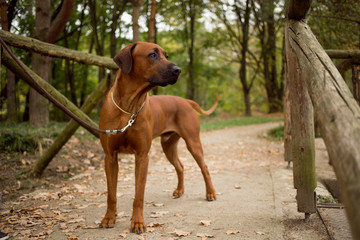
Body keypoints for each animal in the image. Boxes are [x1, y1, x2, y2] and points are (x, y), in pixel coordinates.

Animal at [98, 42, 217, 233]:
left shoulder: (142, 156)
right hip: (168, 145)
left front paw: (137, 222)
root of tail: (186, 101)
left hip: (193, 142)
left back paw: (210, 193)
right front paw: (109, 218)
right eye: (152, 55)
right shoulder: (110, 157)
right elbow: (111, 194)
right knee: (180, 166)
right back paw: (179, 190)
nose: (178, 70)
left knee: (204, 167)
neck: (128, 107)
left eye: (166, 55)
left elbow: (139, 195)